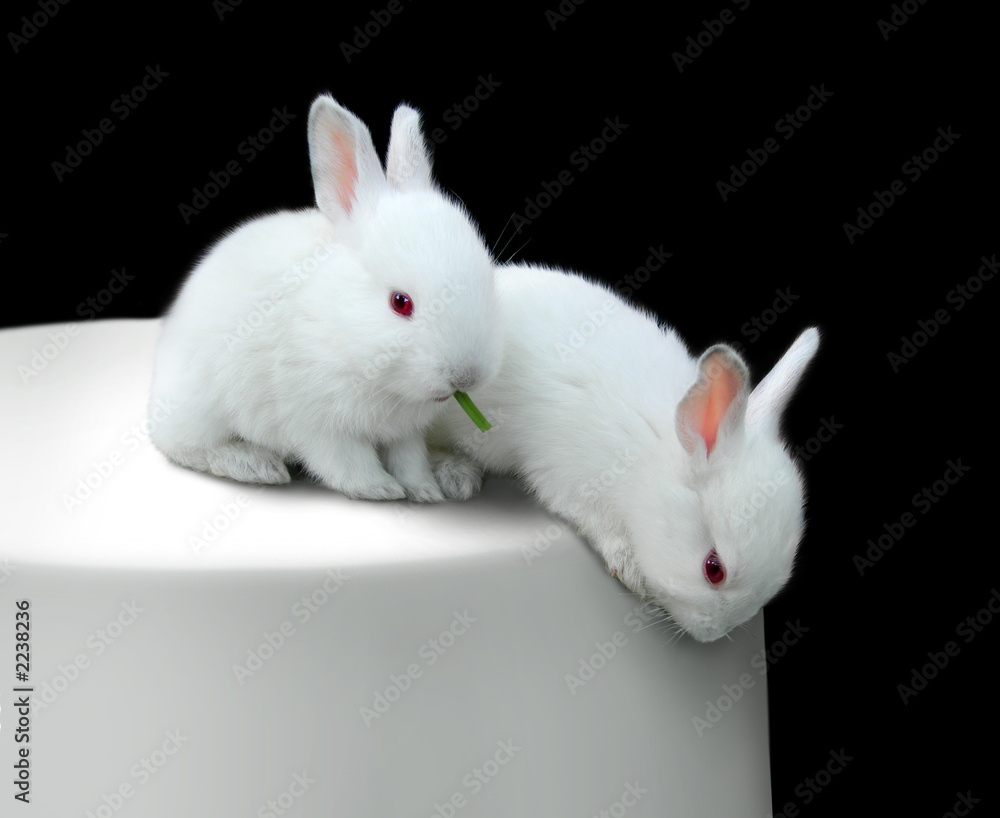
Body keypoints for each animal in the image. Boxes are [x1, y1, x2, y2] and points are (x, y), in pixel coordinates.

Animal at [148, 94, 501, 502]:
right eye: (400, 302)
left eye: (487, 283)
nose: (466, 376)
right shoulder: (319, 425)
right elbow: (347, 462)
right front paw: (381, 490)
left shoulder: (404, 433)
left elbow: (409, 459)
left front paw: (424, 491)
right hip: (199, 408)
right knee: (185, 446)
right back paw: (255, 465)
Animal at [429, 262, 819, 641]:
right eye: (714, 569)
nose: (710, 636)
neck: (650, 453)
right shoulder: (575, 480)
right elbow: (598, 522)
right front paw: (632, 569)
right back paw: (455, 474)